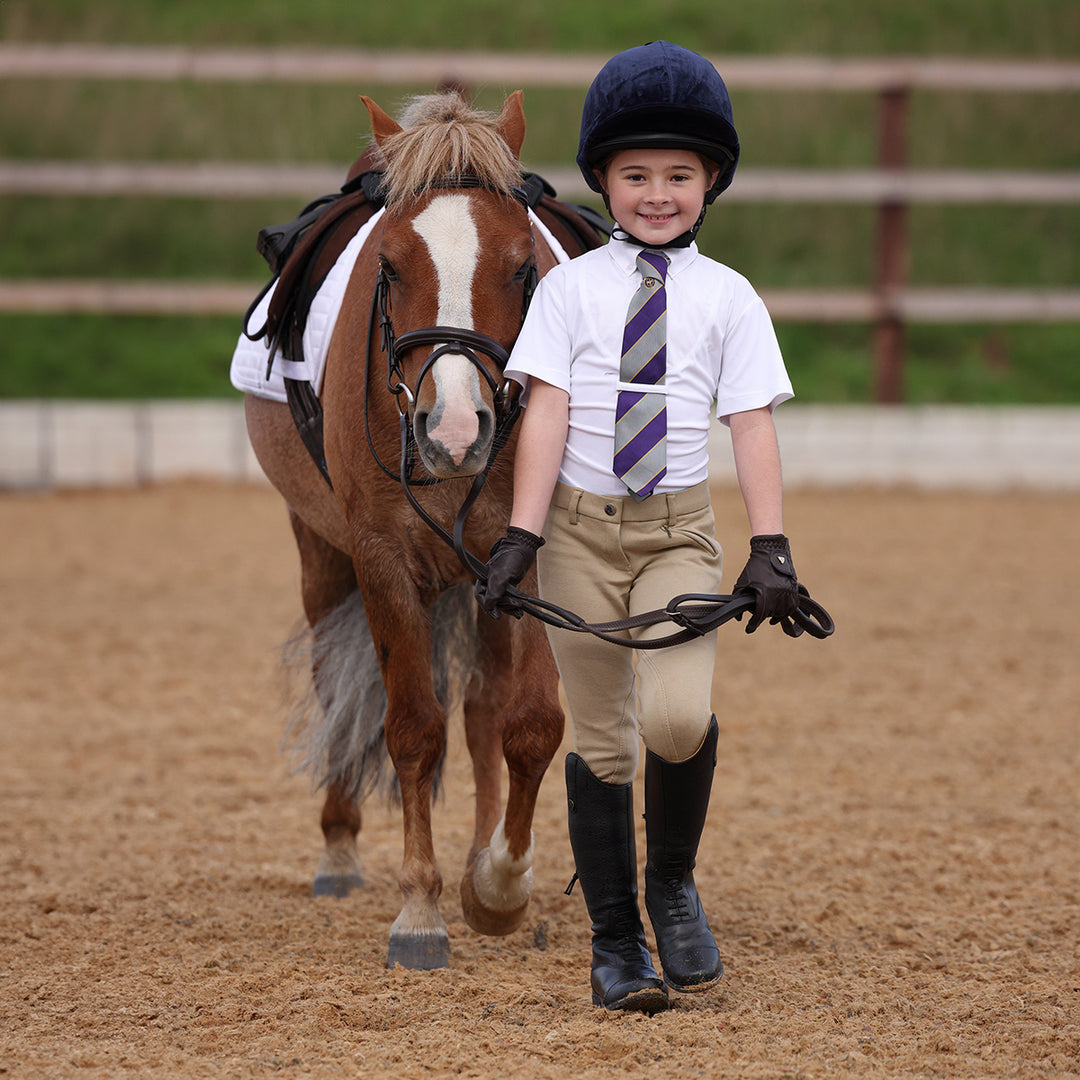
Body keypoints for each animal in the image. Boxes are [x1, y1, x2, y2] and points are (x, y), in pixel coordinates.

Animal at [245, 92, 565, 972]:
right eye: (388, 269)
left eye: (523, 267)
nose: (453, 431)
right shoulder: (380, 559)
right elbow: (413, 729)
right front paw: (420, 911)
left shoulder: (529, 560)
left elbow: (530, 722)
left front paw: (498, 885)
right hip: (321, 555)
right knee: (337, 688)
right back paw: (338, 850)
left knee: (486, 709)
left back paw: (481, 858)